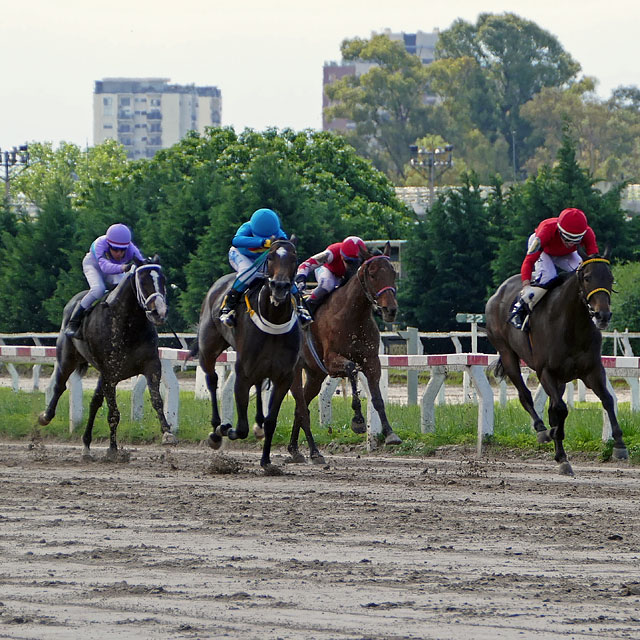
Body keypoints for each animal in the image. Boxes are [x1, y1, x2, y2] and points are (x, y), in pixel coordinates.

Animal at [39, 258, 175, 460]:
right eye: (143, 281)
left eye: (163, 280)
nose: (159, 312)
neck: (127, 325)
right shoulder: (110, 374)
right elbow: (113, 414)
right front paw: (112, 449)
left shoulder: (151, 365)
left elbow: (157, 400)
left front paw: (167, 433)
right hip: (67, 359)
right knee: (59, 386)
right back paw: (46, 416)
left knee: (94, 402)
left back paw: (86, 445)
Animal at [195, 238, 302, 472]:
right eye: (270, 256)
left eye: (294, 257)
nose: (280, 286)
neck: (274, 318)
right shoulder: (242, 373)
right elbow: (241, 427)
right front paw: (226, 428)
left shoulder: (284, 376)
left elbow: (271, 421)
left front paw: (267, 461)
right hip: (208, 349)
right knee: (212, 380)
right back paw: (216, 429)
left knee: (259, 385)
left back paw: (258, 425)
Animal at [488, 255, 628, 476]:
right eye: (587, 278)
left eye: (611, 278)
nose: (603, 315)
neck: (572, 326)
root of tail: (497, 294)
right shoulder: (546, 372)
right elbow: (560, 409)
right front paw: (560, 453)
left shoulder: (592, 370)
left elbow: (607, 400)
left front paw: (619, 445)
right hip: (507, 352)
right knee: (524, 394)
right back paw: (541, 429)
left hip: (561, 378)